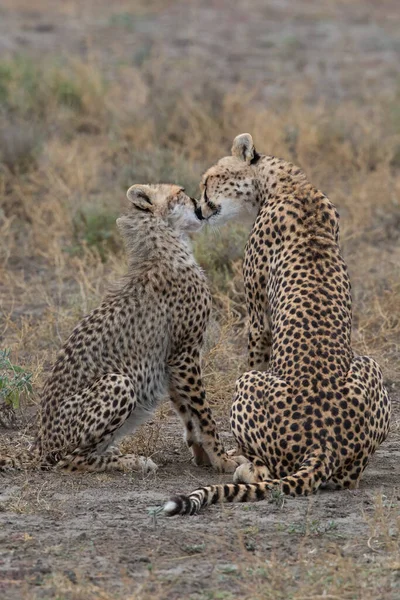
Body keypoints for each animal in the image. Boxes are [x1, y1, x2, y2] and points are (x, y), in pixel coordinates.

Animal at [0, 183, 238, 474]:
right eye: (180, 191)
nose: (199, 202)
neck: (166, 243)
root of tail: (39, 444)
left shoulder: (172, 359)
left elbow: (188, 413)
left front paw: (204, 456)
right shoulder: (185, 353)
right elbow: (203, 413)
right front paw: (223, 459)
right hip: (119, 382)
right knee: (69, 460)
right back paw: (131, 460)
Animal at [164, 132, 392, 516]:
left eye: (209, 180)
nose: (199, 209)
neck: (287, 182)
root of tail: (323, 444)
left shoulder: (258, 318)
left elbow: (257, 351)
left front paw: (233, 454)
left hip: (247, 385)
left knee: (266, 470)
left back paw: (245, 466)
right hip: (369, 366)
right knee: (348, 479)